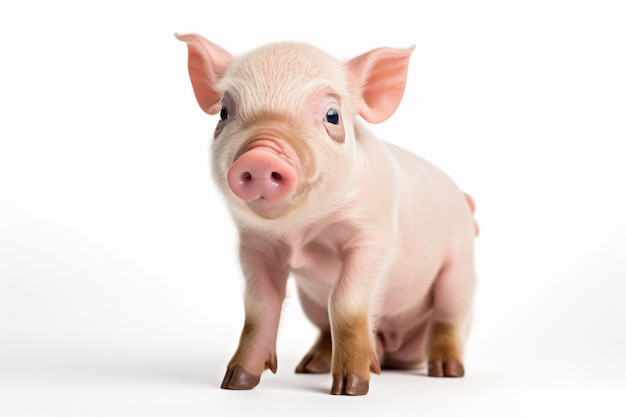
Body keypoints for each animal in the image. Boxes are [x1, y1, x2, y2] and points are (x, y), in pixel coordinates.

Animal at [176, 32, 478, 394]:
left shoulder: (374, 238)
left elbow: (346, 302)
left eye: (332, 116)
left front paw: (351, 388)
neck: (300, 230)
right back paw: (309, 366)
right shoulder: (254, 245)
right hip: (311, 301)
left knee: (448, 320)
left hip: (460, 266)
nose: (261, 156)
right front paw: (235, 383)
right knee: (323, 328)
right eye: (223, 112)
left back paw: (447, 372)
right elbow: (260, 306)